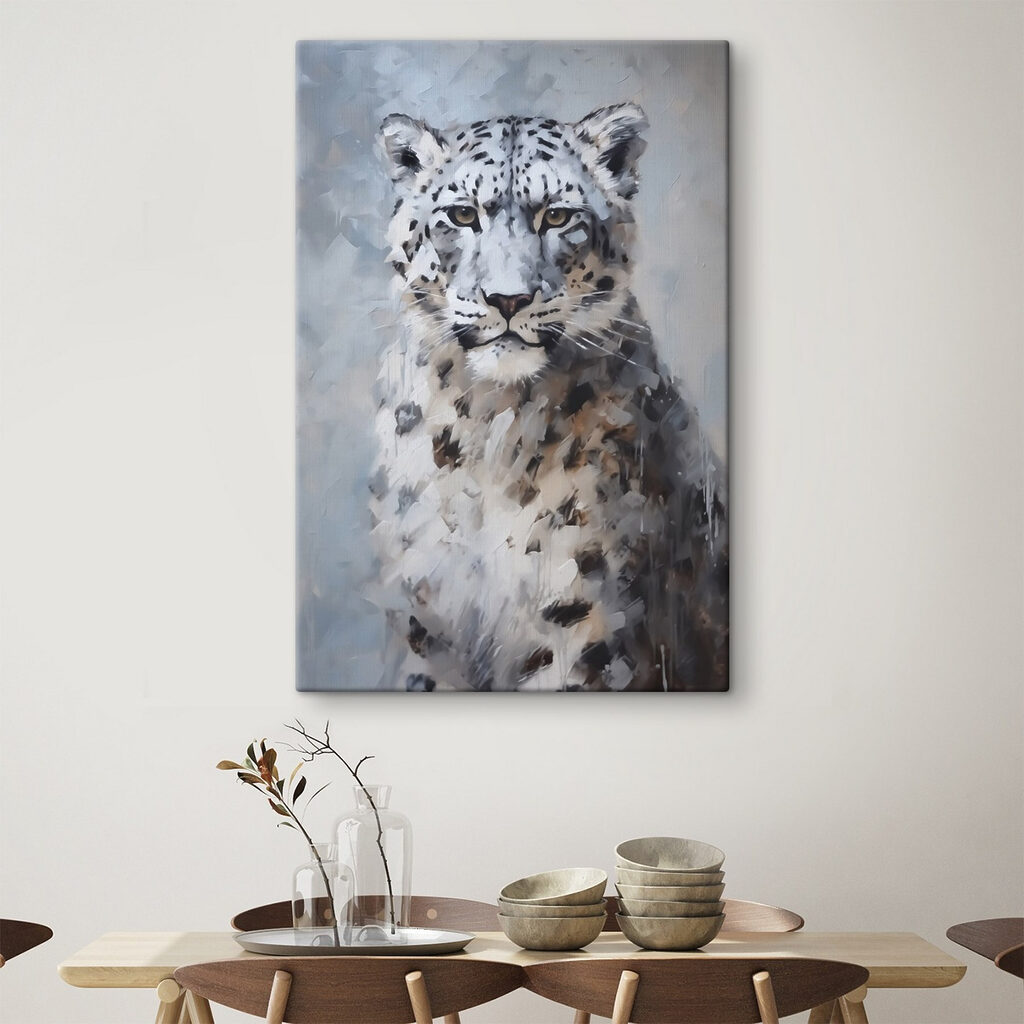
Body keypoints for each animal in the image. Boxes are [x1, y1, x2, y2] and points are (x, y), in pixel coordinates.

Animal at [366, 103, 728, 691]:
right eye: (462, 215)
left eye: (557, 217)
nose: (508, 298)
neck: (486, 425)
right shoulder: (427, 620)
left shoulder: (579, 617)